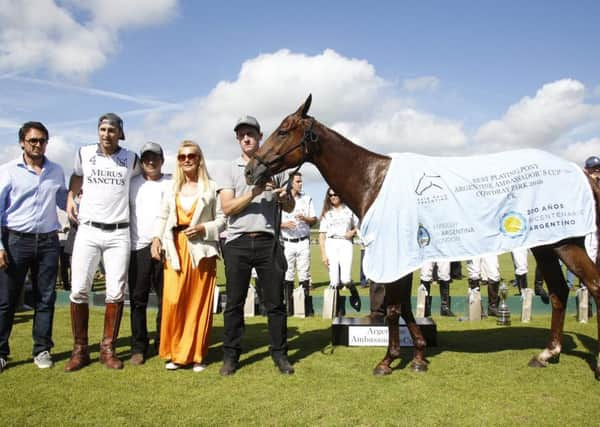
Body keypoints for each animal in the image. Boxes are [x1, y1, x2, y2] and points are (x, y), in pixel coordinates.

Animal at [245, 95, 600, 380]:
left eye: (283, 130)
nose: (251, 170)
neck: (373, 180)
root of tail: (580, 172)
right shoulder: (399, 258)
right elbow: (402, 306)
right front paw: (416, 355)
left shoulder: (394, 254)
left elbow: (393, 308)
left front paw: (388, 361)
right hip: (548, 245)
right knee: (558, 293)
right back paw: (547, 353)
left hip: (566, 243)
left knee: (592, 285)